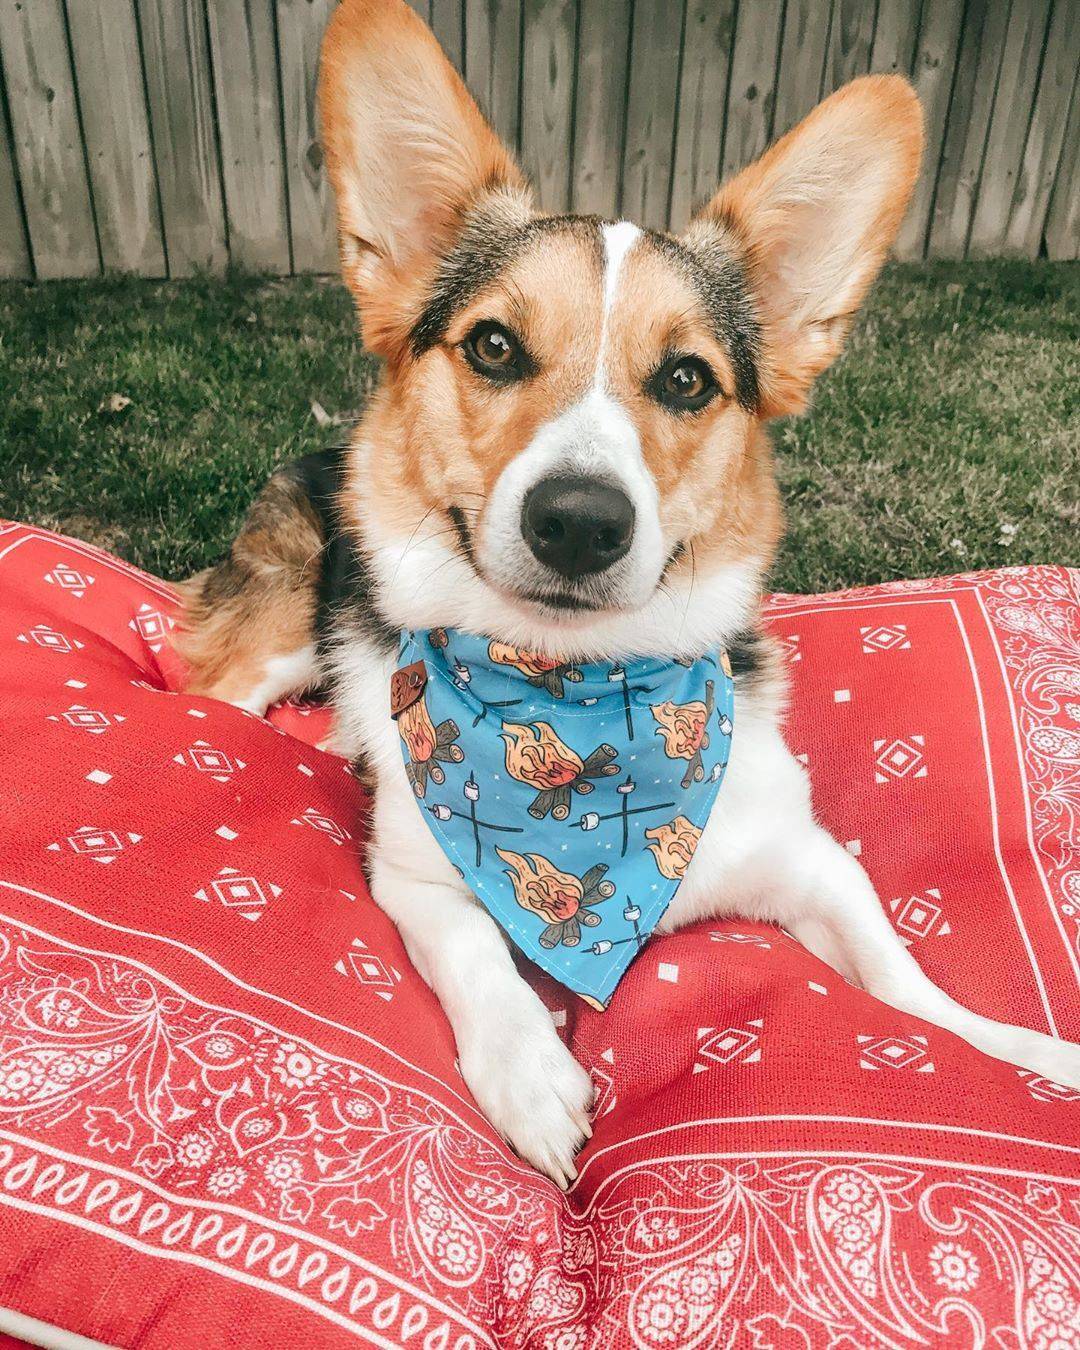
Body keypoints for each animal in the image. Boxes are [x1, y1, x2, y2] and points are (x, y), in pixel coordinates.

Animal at [178, 0, 1080, 1187]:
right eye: (494, 346)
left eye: (688, 379)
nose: (576, 521)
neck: (572, 691)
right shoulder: (412, 879)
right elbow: (473, 944)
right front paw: (531, 1078)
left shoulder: (807, 861)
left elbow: (906, 982)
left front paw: (1027, 1056)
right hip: (280, 633)